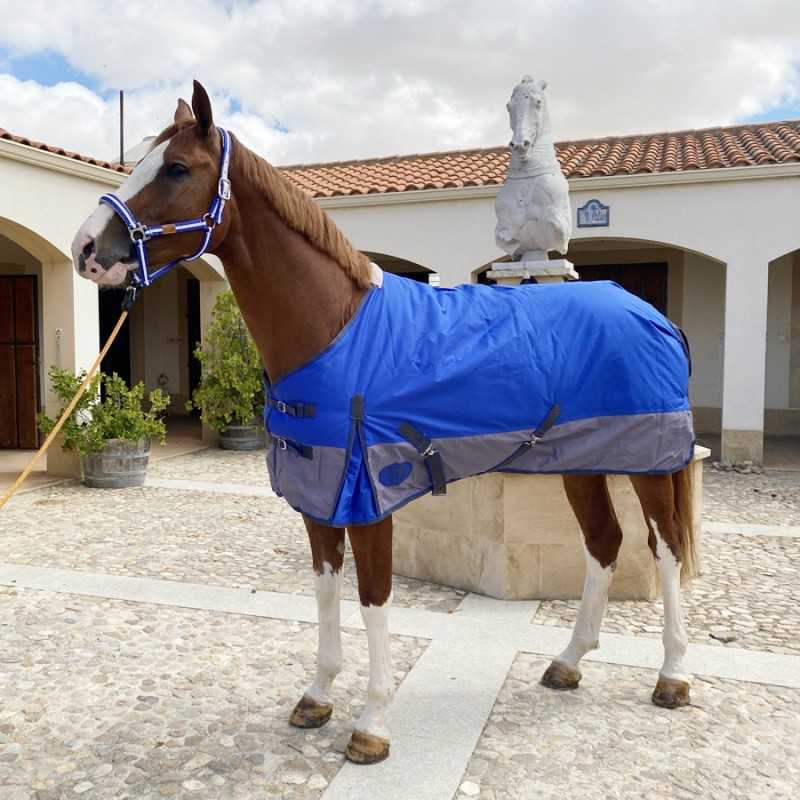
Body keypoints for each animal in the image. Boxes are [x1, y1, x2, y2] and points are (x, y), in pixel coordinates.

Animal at [71, 81, 697, 766]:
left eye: (178, 169)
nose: (85, 249)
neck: (336, 328)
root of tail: (651, 314)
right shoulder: (318, 494)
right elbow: (326, 592)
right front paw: (317, 695)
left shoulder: (369, 494)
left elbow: (373, 598)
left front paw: (372, 723)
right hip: (579, 462)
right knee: (604, 543)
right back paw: (568, 661)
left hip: (649, 464)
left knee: (665, 549)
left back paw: (673, 675)